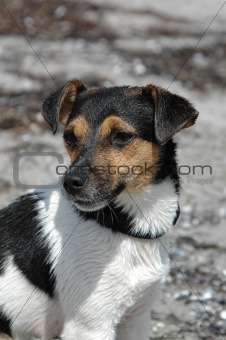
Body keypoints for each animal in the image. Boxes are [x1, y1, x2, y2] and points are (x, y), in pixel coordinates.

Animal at [0, 79, 198, 338]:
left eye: (121, 136)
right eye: (70, 137)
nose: (70, 183)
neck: (123, 227)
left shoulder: (137, 318)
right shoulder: (90, 326)